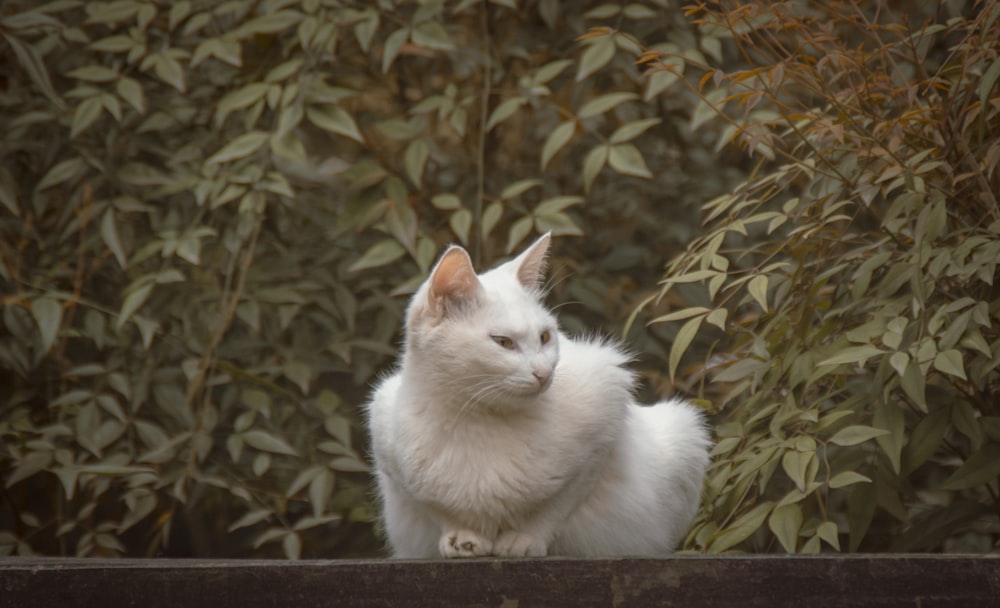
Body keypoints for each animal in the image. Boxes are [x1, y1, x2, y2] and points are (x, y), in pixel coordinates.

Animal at [368, 235, 712, 560]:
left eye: (545, 337)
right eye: (503, 342)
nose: (544, 373)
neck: (480, 417)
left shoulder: (600, 435)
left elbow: (555, 506)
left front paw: (524, 539)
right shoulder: (393, 458)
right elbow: (437, 510)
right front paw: (461, 538)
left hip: (684, 431)